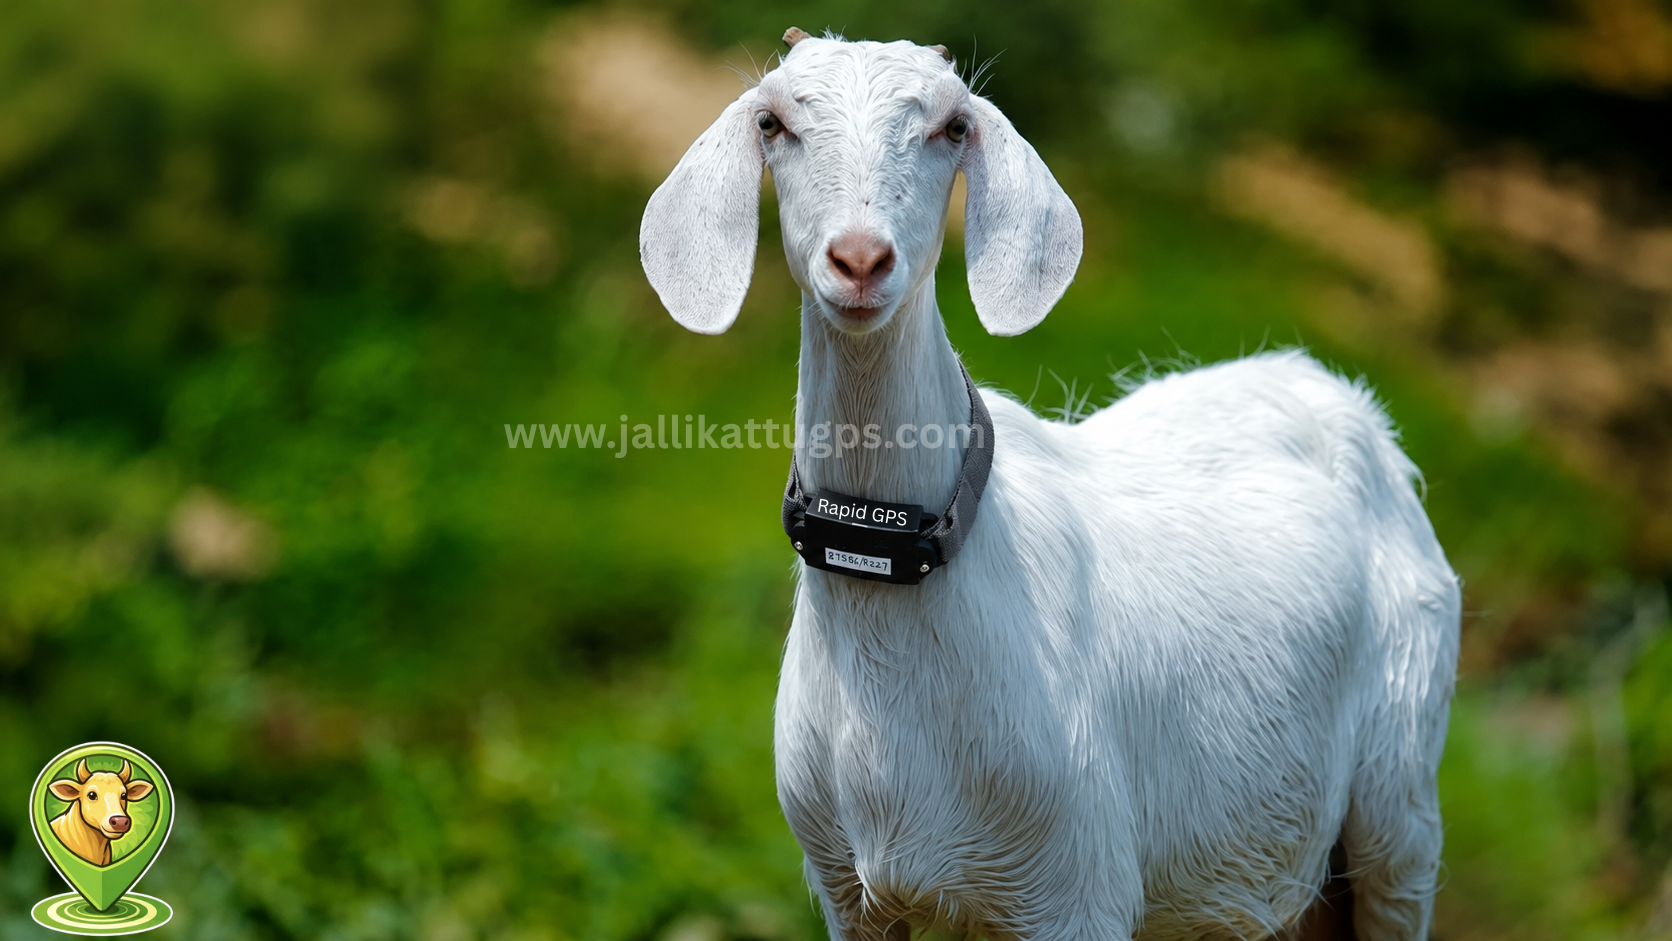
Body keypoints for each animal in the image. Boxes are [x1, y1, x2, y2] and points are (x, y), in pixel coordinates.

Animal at [640, 31, 1459, 941]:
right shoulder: (848, 892)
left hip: (1400, 794)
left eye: (953, 125)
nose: (859, 259)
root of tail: (1336, 394)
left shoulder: (1075, 886)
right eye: (774, 122)